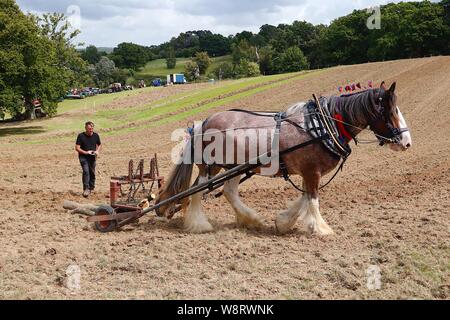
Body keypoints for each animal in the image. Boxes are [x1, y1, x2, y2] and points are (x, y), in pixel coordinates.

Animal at [157, 82, 412, 235]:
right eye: (391, 111)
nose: (407, 142)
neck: (321, 126)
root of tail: (203, 123)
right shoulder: (311, 171)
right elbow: (312, 200)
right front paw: (321, 228)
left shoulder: (309, 172)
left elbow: (305, 198)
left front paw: (283, 222)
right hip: (211, 167)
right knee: (197, 191)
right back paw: (200, 224)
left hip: (235, 167)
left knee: (228, 192)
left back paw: (252, 220)